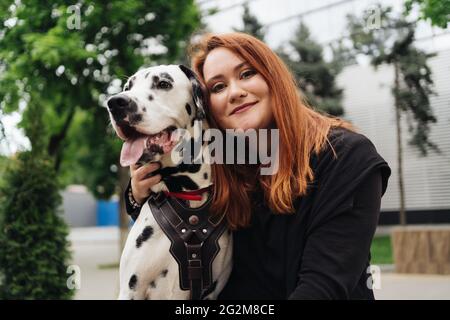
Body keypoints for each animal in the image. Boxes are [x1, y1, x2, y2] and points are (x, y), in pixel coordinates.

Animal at [105, 65, 232, 300]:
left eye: (163, 83)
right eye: (128, 87)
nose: (115, 102)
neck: (187, 194)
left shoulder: (210, 293)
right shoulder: (130, 290)